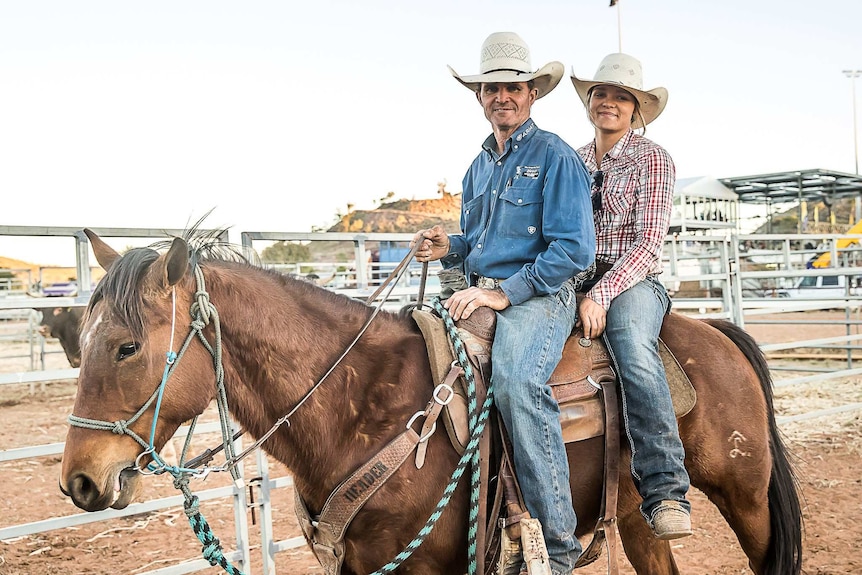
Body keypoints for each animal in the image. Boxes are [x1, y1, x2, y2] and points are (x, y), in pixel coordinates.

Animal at [59, 230, 804, 575]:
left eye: (126, 347)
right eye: (78, 342)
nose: (80, 480)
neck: (357, 404)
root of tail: (717, 330)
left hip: (744, 494)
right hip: (635, 512)